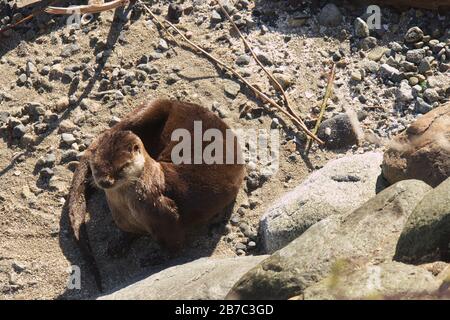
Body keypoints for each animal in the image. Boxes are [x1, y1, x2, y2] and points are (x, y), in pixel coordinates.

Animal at [69, 99, 246, 290]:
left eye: (122, 167)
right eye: (96, 166)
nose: (105, 182)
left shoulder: (164, 215)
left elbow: (174, 246)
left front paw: (154, 257)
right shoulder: (123, 218)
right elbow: (129, 233)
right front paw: (119, 243)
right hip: (148, 110)